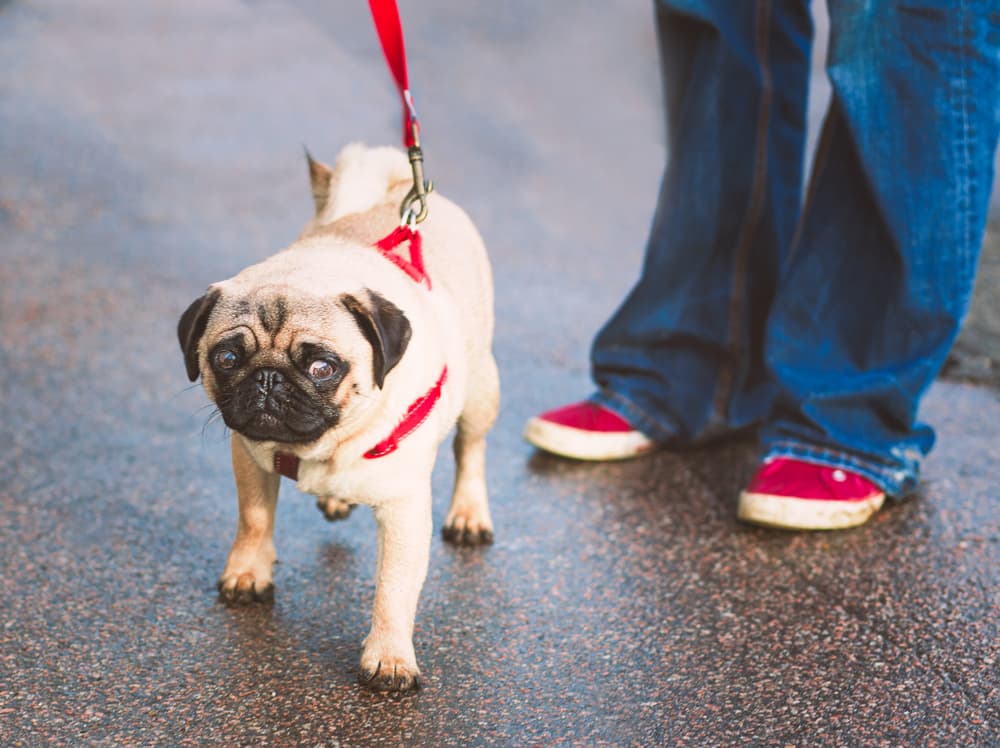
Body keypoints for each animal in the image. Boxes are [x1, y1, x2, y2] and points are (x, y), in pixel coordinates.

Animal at [178, 143, 498, 692]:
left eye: (322, 367)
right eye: (228, 358)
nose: (267, 379)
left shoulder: (403, 508)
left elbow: (393, 587)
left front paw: (389, 657)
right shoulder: (250, 457)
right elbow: (254, 520)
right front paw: (249, 573)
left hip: (479, 391)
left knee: (471, 451)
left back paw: (469, 514)